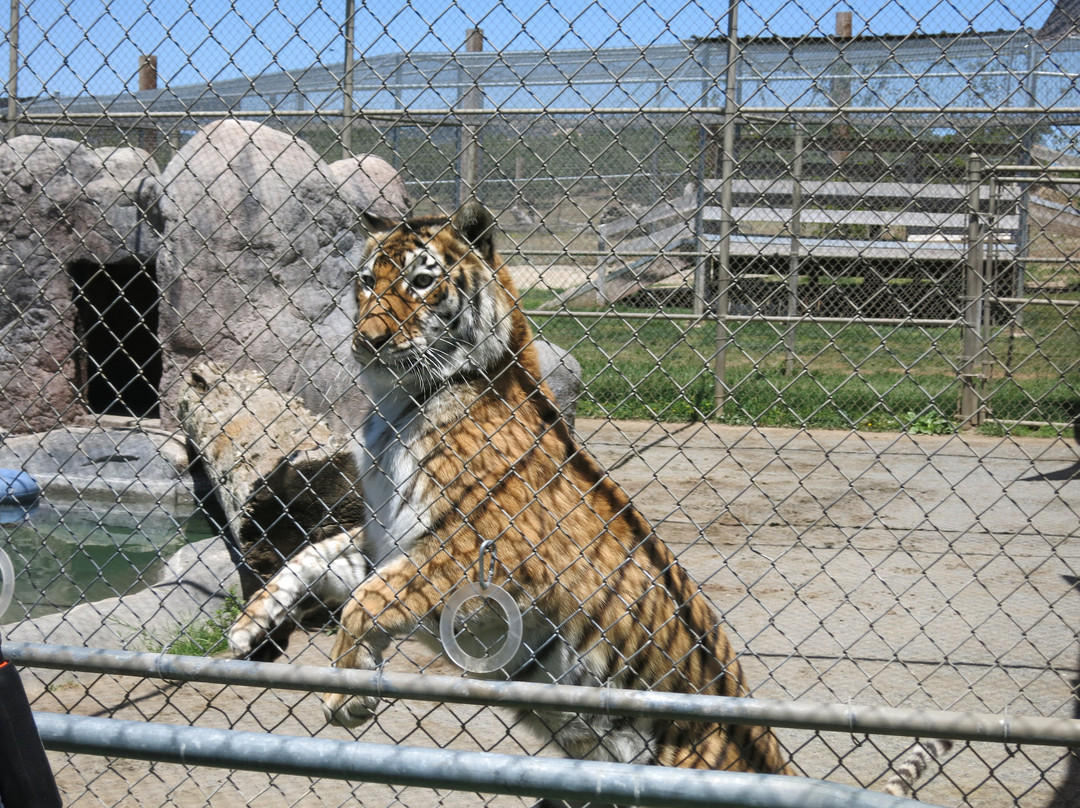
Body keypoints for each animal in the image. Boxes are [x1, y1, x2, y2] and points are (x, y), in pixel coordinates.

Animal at [227, 201, 950, 797]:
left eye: (422, 282)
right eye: (366, 282)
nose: (368, 340)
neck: (399, 405)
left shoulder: (479, 556)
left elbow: (369, 601)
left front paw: (348, 697)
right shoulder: (388, 539)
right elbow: (319, 557)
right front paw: (250, 627)